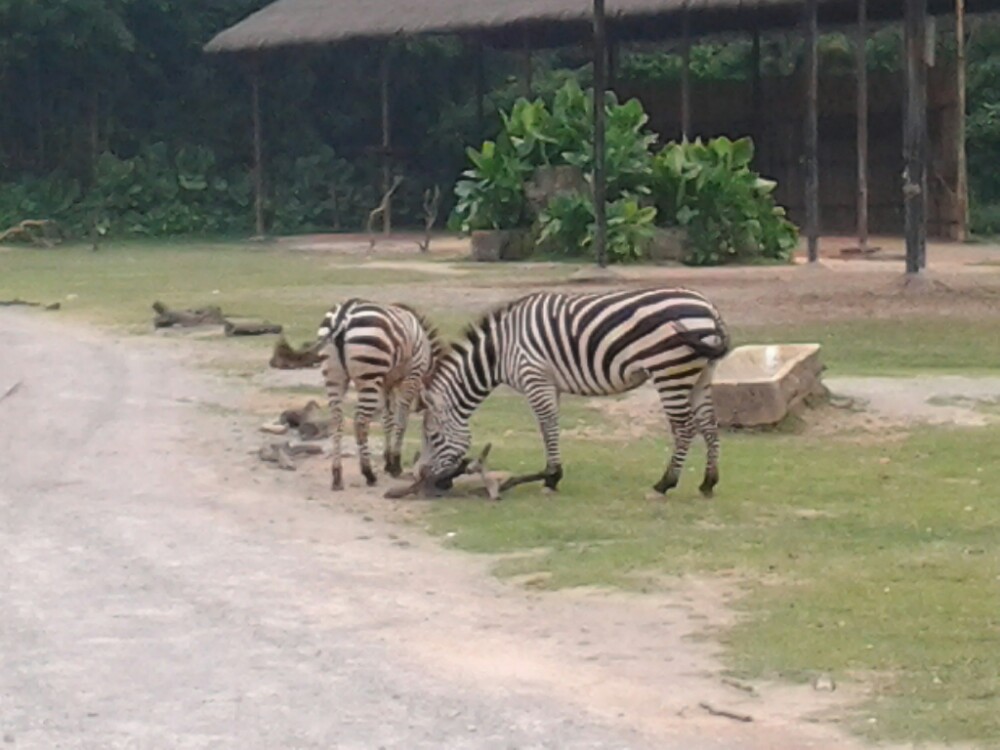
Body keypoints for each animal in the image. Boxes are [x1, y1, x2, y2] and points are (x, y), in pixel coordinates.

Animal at [316, 300, 442, 494]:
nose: (421, 407)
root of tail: (343, 315)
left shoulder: (386, 383)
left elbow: (387, 419)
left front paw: (388, 461)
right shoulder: (410, 378)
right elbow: (401, 421)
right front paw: (395, 464)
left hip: (334, 376)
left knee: (337, 420)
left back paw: (337, 476)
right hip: (369, 374)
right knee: (360, 421)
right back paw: (368, 473)